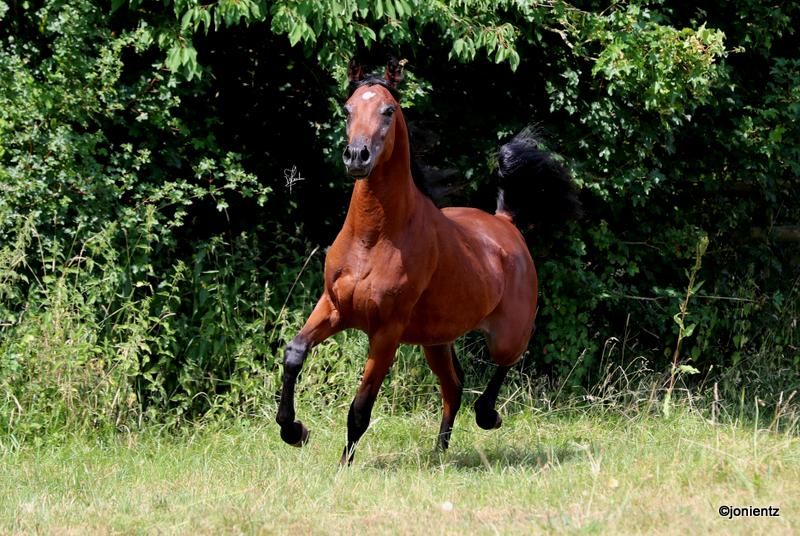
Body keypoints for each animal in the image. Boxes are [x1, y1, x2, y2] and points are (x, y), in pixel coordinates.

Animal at [276, 58, 581, 465]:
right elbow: (294, 353)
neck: (373, 238)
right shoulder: (334, 307)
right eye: (347, 109)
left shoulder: (386, 332)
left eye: (388, 110)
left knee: (508, 358)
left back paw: (488, 416)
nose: (357, 156)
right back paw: (439, 454)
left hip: (506, 333)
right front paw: (294, 431)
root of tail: (505, 223)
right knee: (453, 386)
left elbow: (360, 406)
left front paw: (343, 465)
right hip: (435, 341)